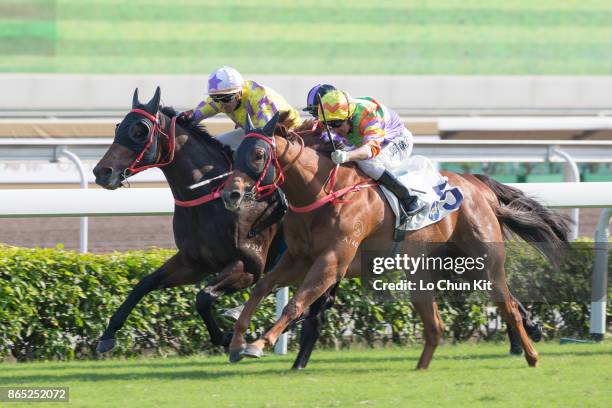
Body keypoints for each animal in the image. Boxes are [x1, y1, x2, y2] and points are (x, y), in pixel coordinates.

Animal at [91, 87, 284, 354]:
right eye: (118, 127)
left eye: (140, 131)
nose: (102, 172)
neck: (211, 197)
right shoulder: (193, 263)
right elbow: (144, 283)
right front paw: (108, 335)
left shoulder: (250, 265)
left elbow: (203, 297)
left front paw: (225, 337)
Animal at [222, 113, 572, 368]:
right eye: (235, 155)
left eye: (258, 155)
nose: (231, 194)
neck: (322, 193)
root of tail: (479, 187)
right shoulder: (297, 258)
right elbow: (261, 288)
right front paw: (237, 342)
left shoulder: (333, 261)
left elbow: (295, 303)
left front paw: (258, 343)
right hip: (436, 268)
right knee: (440, 322)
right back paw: (422, 369)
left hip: (483, 262)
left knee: (507, 306)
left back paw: (532, 356)